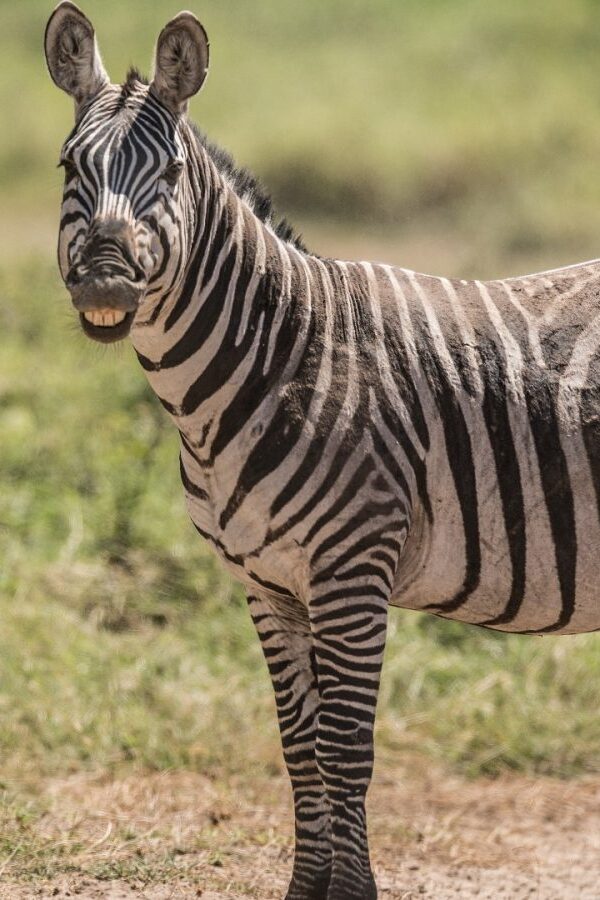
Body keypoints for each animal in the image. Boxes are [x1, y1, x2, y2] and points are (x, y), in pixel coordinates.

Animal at [45, 3, 600, 898]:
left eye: (170, 171)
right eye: (68, 166)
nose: (103, 285)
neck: (276, 361)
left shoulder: (352, 570)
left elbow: (344, 751)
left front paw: (352, 891)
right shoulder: (268, 584)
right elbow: (298, 748)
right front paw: (307, 888)